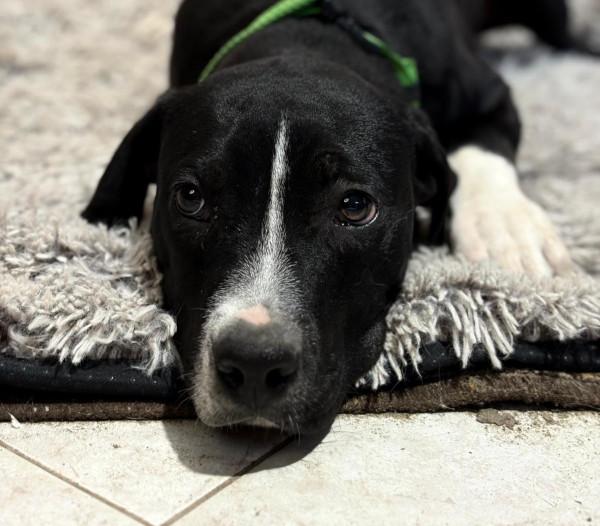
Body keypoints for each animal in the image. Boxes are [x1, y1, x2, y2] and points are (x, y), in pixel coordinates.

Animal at [83, 0, 593, 435]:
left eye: (355, 206)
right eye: (190, 198)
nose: (254, 362)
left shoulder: (486, 95)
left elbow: (482, 148)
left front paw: (506, 228)